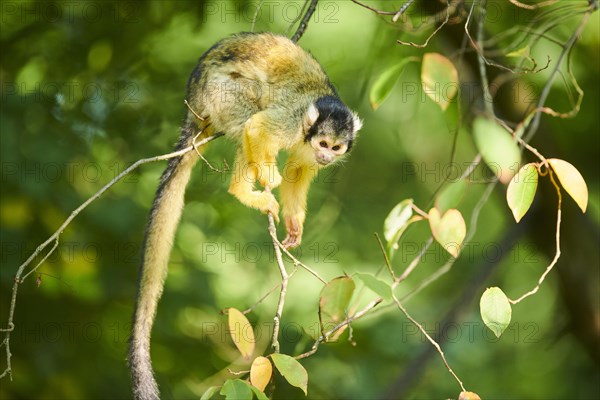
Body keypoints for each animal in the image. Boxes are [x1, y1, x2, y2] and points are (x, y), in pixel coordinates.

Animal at [129, 32, 364, 400]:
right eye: (324, 143)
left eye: (335, 148)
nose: (326, 156)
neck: (307, 131)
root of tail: (193, 97)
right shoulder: (291, 121)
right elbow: (258, 127)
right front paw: (268, 175)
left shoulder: (305, 147)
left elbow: (298, 171)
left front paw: (295, 223)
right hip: (218, 94)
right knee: (250, 116)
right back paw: (244, 190)